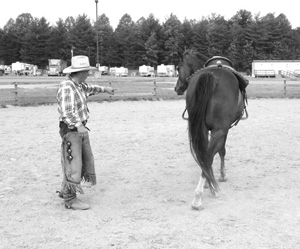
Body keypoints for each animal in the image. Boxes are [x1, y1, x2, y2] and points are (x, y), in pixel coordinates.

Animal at [173, 49, 248, 209]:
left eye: (178, 67)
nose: (177, 88)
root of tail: (211, 75)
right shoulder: (223, 130)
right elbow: (221, 151)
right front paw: (222, 176)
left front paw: (209, 181)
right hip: (219, 130)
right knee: (208, 155)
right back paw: (200, 196)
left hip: (201, 127)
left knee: (204, 154)